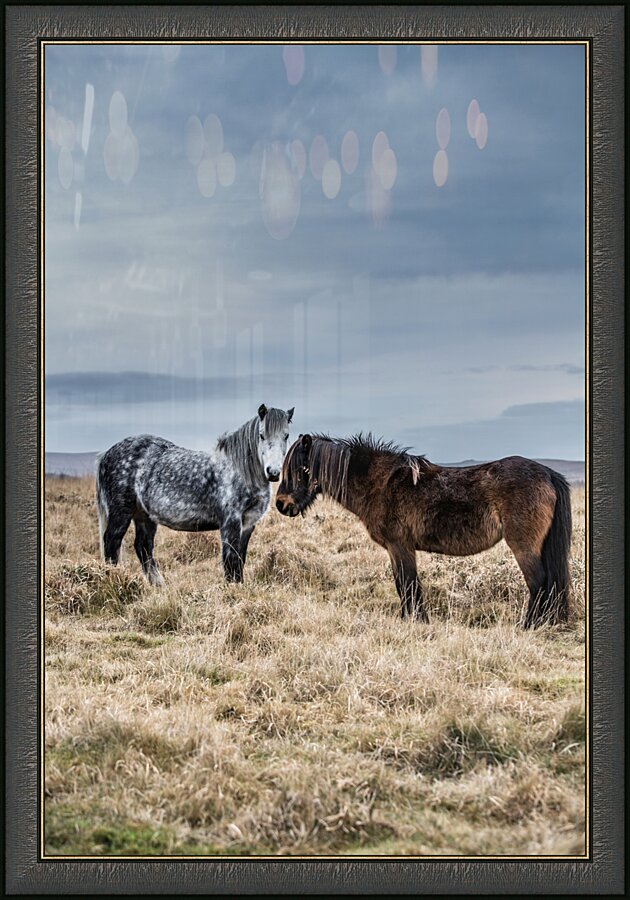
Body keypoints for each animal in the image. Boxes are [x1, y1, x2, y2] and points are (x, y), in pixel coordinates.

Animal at [96, 404, 294, 585]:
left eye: (286, 435)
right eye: (261, 435)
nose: (273, 472)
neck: (239, 470)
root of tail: (107, 454)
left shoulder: (248, 524)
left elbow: (240, 559)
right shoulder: (230, 522)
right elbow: (230, 560)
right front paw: (232, 589)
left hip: (144, 516)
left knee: (143, 546)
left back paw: (159, 585)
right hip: (121, 513)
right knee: (112, 542)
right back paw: (113, 579)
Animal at [275, 433, 572, 628]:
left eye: (300, 469)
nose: (281, 504)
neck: (379, 484)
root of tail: (547, 474)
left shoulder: (400, 547)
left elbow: (409, 584)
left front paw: (417, 621)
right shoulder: (395, 550)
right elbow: (403, 585)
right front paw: (411, 619)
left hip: (524, 546)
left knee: (539, 584)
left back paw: (529, 626)